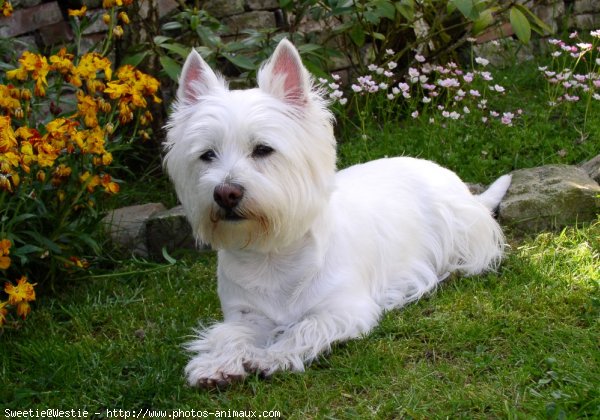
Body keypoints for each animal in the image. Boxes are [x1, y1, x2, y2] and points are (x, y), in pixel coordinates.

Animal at [164, 39, 510, 388]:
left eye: (263, 149)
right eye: (207, 155)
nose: (225, 193)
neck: (271, 256)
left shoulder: (344, 309)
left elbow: (303, 328)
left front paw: (270, 356)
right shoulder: (246, 314)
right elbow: (229, 334)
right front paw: (216, 365)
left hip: (463, 233)